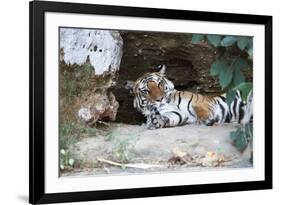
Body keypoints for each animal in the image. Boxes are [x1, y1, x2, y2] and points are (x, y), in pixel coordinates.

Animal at [124, 65, 252, 129]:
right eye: (146, 91)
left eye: (159, 84)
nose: (160, 99)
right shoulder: (177, 114)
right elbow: (169, 117)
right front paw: (157, 121)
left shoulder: (204, 101)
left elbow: (200, 109)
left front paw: (205, 120)